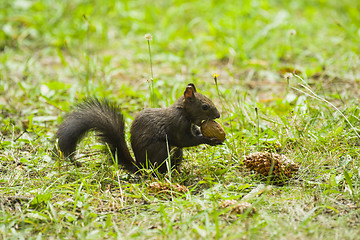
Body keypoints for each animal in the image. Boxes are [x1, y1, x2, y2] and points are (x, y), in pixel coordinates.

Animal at [56, 83, 222, 173]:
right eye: (205, 106)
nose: (218, 115)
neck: (182, 111)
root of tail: (140, 165)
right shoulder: (177, 125)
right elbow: (185, 141)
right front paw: (210, 140)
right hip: (161, 150)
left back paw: (177, 170)